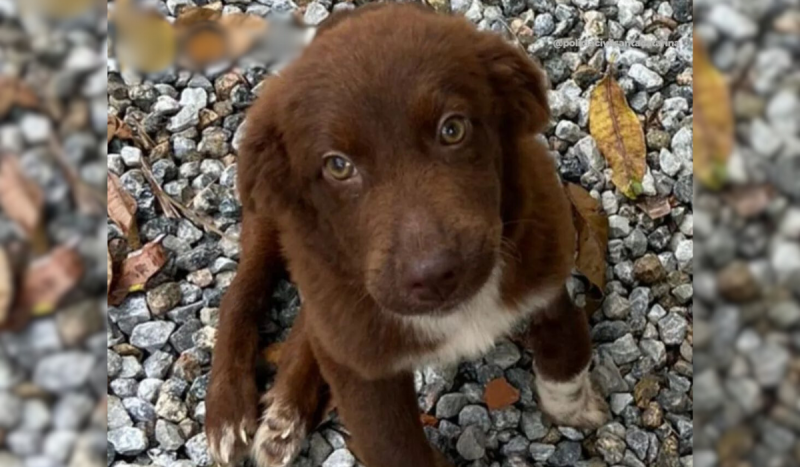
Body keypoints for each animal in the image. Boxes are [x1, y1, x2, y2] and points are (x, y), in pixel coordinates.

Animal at [205, 4, 608, 467]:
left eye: (452, 129)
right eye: (338, 166)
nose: (434, 276)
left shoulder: (544, 266)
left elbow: (566, 346)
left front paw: (575, 408)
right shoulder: (365, 371)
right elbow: (394, 444)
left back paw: (284, 415)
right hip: (274, 225)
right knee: (241, 294)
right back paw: (232, 414)